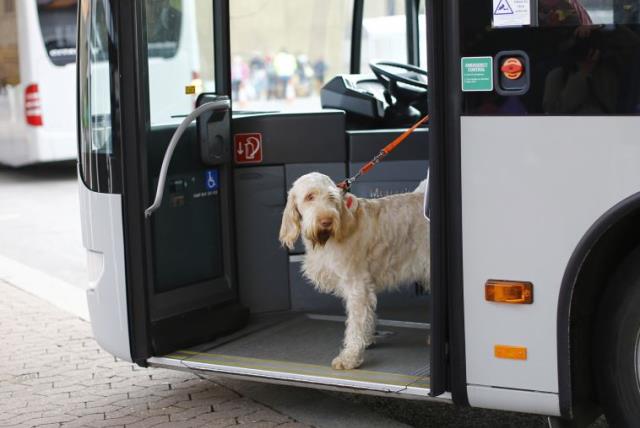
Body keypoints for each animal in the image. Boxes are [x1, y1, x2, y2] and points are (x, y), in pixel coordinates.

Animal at [280, 172, 430, 370]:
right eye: (309, 197)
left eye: (332, 198)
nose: (326, 222)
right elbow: (366, 317)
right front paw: (367, 339)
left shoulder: (357, 285)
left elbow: (355, 323)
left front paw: (350, 357)